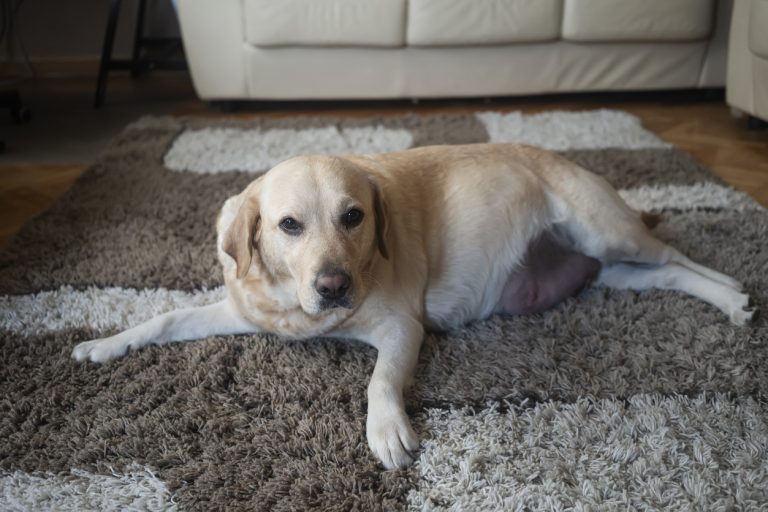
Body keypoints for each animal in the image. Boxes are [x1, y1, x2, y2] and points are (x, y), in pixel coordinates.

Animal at [72, 143, 756, 468]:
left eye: (353, 217)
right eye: (289, 225)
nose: (333, 285)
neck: (299, 308)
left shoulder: (403, 326)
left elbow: (379, 380)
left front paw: (386, 430)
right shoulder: (239, 309)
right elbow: (164, 316)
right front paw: (104, 344)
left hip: (607, 233)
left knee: (679, 255)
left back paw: (735, 295)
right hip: (609, 269)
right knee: (663, 273)